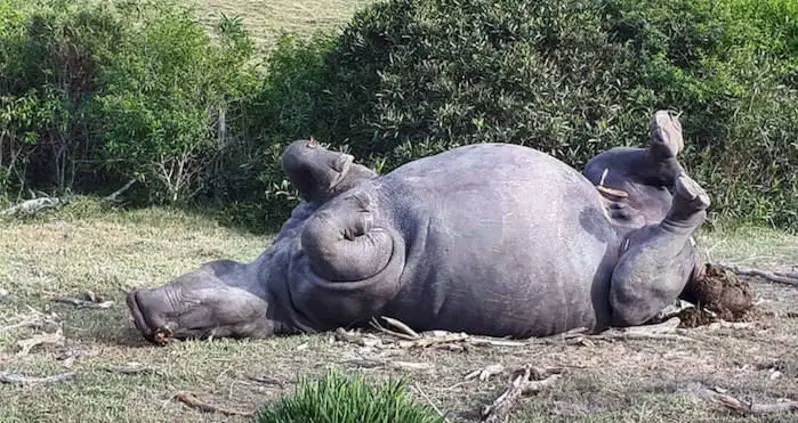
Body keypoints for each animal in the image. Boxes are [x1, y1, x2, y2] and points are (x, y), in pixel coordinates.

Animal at [126, 110, 711, 344]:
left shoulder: (336, 198)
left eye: (210, 267)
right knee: (640, 275)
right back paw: (686, 190)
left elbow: (309, 171)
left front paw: (337, 171)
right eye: (207, 325)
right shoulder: (352, 290)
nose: (139, 304)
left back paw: (668, 136)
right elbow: (343, 242)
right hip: (630, 287)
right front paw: (364, 219)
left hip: (599, 177)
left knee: (624, 170)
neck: (266, 278)